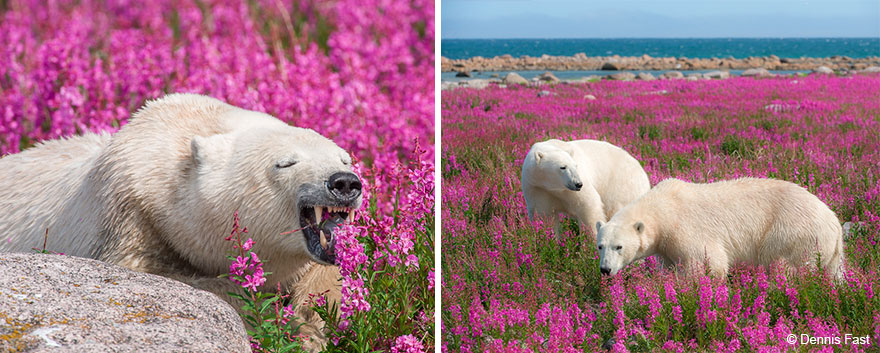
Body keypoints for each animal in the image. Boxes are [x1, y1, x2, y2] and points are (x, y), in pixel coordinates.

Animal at [0, 92, 360, 348]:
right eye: (285, 163)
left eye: (344, 158)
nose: (344, 182)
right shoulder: (129, 215)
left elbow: (326, 278)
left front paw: (312, 324)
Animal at [520, 138, 648, 236]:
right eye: (562, 167)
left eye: (575, 165)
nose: (578, 184)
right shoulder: (537, 188)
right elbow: (545, 216)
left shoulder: (575, 188)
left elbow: (587, 206)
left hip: (622, 187)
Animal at [596, 177, 844, 280]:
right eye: (600, 246)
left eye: (619, 246)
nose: (605, 270)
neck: (664, 209)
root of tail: (834, 222)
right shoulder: (666, 247)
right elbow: (671, 265)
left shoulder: (686, 230)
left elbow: (709, 264)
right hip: (830, 250)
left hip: (793, 233)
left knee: (787, 267)